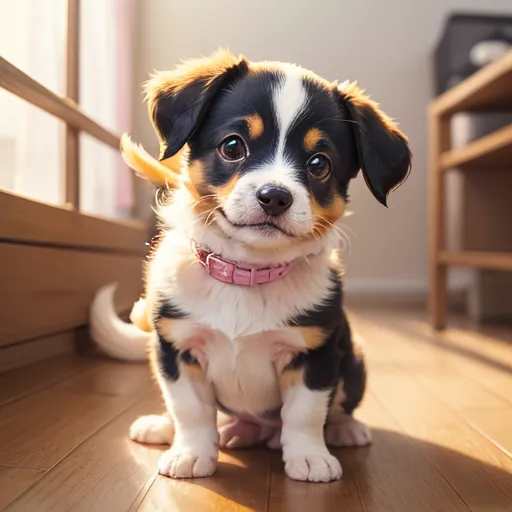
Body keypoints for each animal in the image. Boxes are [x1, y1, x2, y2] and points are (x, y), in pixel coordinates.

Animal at [90, 50, 412, 482]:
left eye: (319, 163)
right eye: (232, 146)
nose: (274, 196)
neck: (246, 275)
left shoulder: (315, 352)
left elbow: (305, 413)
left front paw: (310, 457)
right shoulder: (176, 347)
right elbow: (190, 409)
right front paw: (191, 453)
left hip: (353, 358)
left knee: (336, 407)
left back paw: (343, 430)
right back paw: (179, 427)